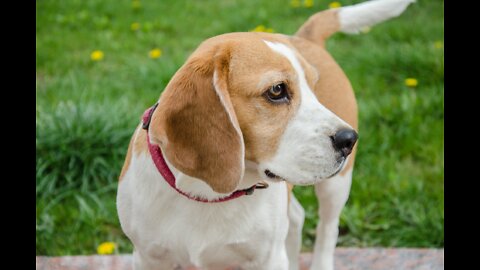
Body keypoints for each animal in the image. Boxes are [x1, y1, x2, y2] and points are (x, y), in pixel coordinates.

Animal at [118, 1, 414, 268]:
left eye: (313, 88)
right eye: (276, 90)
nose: (349, 139)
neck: (207, 193)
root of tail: (303, 36)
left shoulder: (269, 257)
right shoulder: (147, 258)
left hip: (336, 186)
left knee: (327, 230)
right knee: (297, 216)